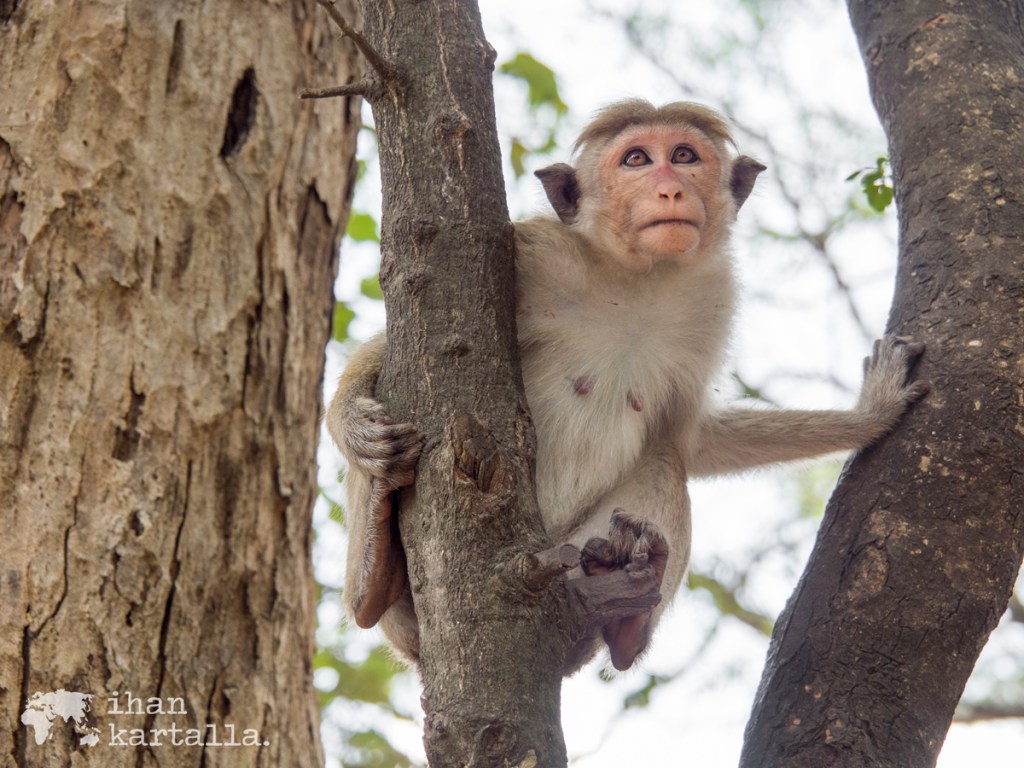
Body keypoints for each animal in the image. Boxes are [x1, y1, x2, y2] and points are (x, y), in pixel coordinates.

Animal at [326, 99, 927, 674]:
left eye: (684, 155)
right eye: (636, 159)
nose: (670, 187)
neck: (637, 278)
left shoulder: (712, 302)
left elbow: (689, 436)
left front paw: (872, 413)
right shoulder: (532, 255)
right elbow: (399, 350)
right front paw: (353, 425)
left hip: (566, 556)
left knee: (662, 464)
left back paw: (624, 614)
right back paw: (375, 571)